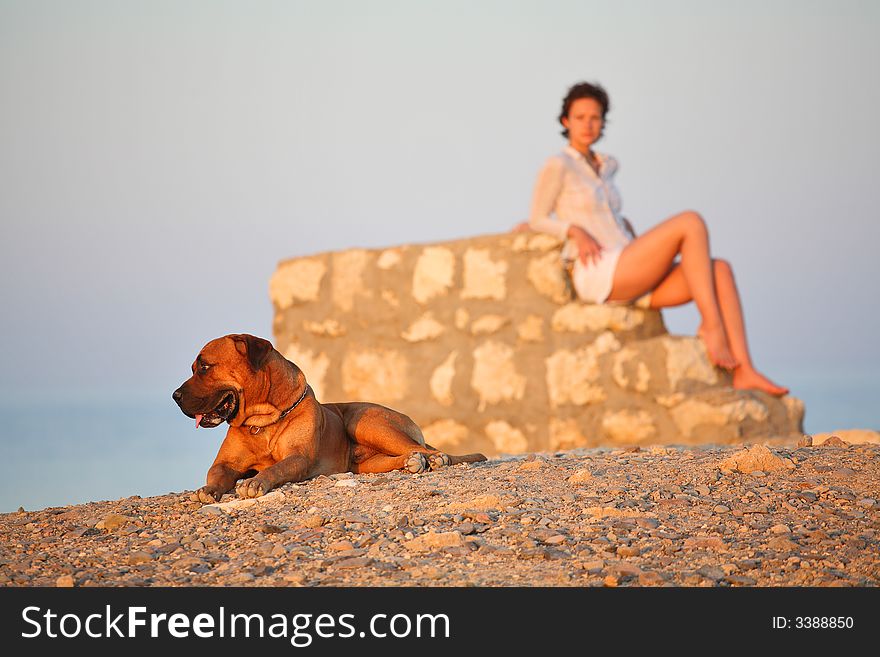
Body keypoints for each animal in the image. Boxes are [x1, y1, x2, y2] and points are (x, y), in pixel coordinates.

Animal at [172, 334, 488, 502]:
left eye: (204, 367)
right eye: (194, 368)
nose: (175, 395)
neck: (261, 423)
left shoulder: (298, 458)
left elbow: (276, 467)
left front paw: (256, 482)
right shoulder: (225, 463)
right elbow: (216, 474)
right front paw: (208, 490)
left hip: (366, 421)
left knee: (427, 449)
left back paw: (435, 459)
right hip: (367, 462)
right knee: (406, 455)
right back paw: (412, 462)